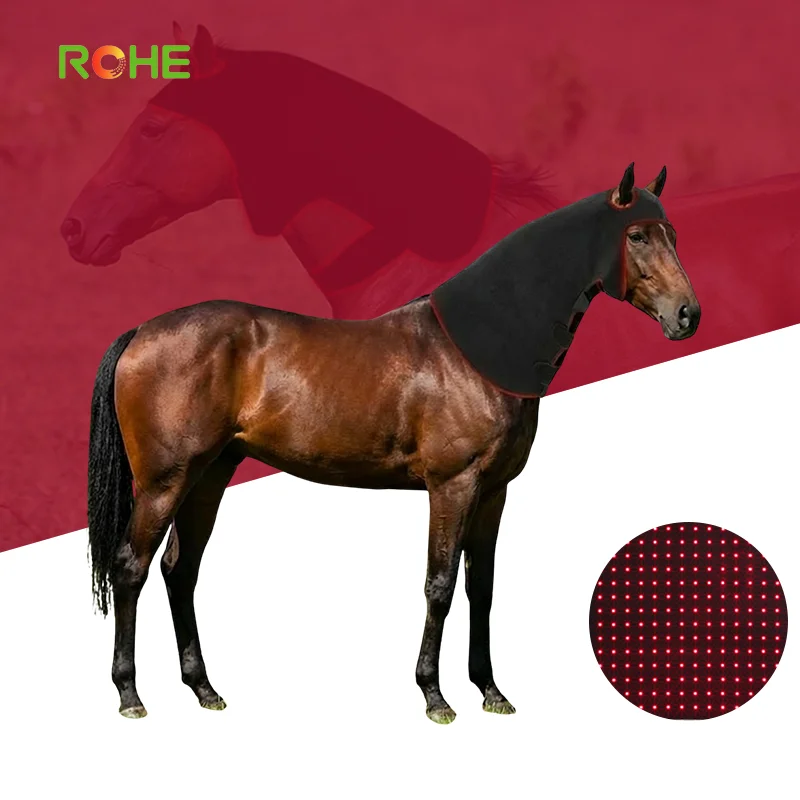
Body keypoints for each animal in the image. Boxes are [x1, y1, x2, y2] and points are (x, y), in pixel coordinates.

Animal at [87, 164, 700, 723]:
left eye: (673, 234)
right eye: (637, 236)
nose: (688, 315)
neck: (479, 348)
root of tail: (140, 332)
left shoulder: (494, 493)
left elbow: (482, 588)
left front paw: (491, 692)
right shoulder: (452, 486)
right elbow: (440, 584)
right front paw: (435, 697)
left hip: (210, 474)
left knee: (180, 569)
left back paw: (204, 689)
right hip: (165, 482)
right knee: (131, 567)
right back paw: (130, 695)